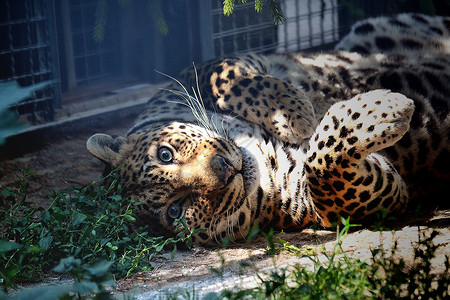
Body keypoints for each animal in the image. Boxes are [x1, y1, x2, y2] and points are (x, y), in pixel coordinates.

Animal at [86, 12, 448, 245]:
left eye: (165, 153)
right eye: (175, 210)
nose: (224, 169)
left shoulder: (205, 70)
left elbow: (231, 77)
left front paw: (295, 115)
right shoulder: (368, 200)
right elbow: (323, 168)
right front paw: (379, 111)